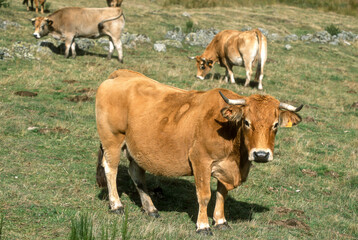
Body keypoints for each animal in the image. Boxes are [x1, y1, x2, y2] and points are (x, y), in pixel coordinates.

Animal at [94, 69, 302, 234]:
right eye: (246, 122)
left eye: (275, 125)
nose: (261, 154)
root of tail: (122, 74)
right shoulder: (201, 161)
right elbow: (204, 195)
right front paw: (203, 225)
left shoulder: (224, 166)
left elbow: (222, 194)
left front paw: (220, 221)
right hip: (112, 139)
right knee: (110, 169)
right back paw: (116, 205)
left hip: (137, 149)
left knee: (136, 174)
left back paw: (151, 209)